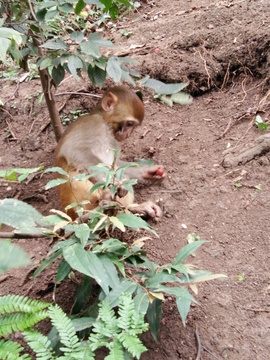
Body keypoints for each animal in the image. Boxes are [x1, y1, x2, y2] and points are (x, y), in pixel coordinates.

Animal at [54, 87, 165, 221]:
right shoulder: (92, 124)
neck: (105, 122)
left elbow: (117, 164)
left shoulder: (114, 140)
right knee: (75, 174)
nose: (127, 134)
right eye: (129, 124)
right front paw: (117, 183)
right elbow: (74, 150)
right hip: (75, 206)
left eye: (133, 126)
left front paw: (149, 172)